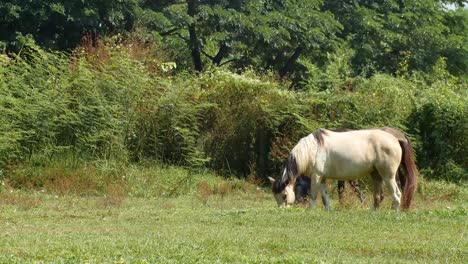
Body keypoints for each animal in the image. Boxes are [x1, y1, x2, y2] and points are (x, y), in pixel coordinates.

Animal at [268, 128, 418, 210]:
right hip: (376, 175)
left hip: (388, 176)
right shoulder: (322, 178)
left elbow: (314, 195)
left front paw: (311, 210)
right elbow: (325, 198)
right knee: (378, 196)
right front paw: (328, 210)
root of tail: (396, 139)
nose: (283, 210)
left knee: (397, 194)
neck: (313, 149)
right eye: (275, 197)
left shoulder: (316, 177)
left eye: (284, 195)